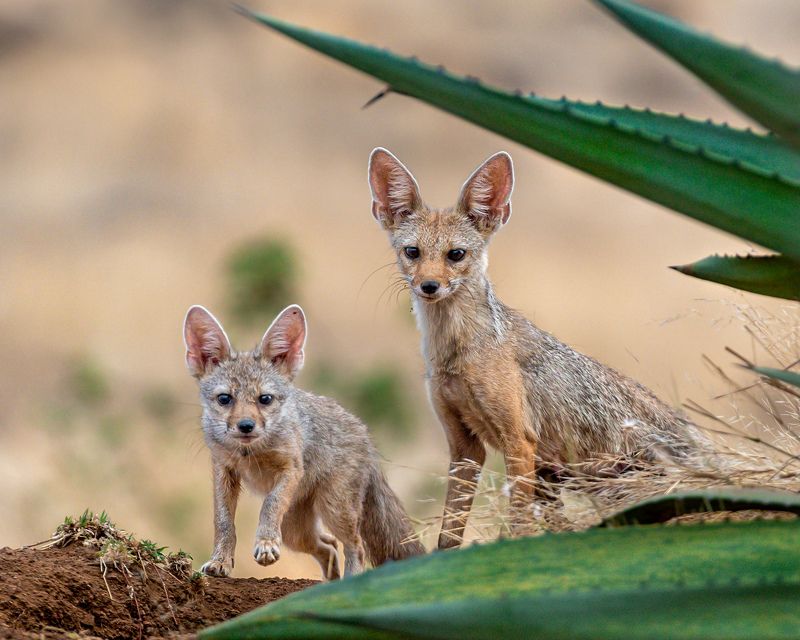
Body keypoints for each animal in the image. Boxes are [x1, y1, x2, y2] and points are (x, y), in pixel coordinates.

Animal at [183, 303, 424, 579]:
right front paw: (220, 561)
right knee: (329, 545)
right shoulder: (224, 471)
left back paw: (348, 581)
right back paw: (329, 583)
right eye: (225, 399)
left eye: (265, 399)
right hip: (295, 532)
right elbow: (223, 521)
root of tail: (364, 432)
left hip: (334, 510)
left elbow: (269, 504)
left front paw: (265, 543)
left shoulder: (290, 470)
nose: (245, 426)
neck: (250, 453)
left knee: (355, 545)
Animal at [367, 147, 707, 549]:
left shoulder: (520, 442)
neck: (458, 355)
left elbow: (518, 526)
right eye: (413, 252)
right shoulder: (464, 445)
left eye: (456, 254)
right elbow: (449, 535)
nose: (429, 286)